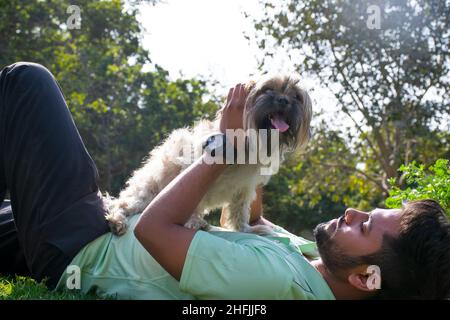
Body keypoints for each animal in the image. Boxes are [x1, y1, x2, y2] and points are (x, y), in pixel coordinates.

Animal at [107, 75, 312, 235]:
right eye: (267, 89)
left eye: (296, 96)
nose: (284, 100)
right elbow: (192, 203)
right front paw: (193, 221)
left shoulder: (244, 187)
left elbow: (239, 210)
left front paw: (245, 229)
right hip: (147, 192)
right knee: (121, 204)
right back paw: (117, 221)